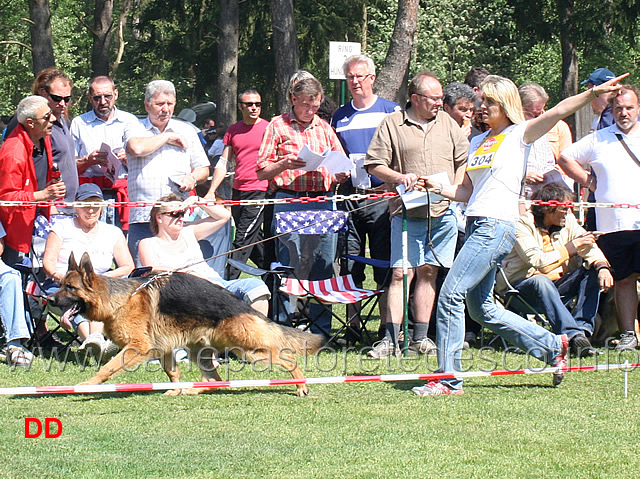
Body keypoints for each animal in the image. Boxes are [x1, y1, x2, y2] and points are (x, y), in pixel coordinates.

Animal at [50, 253, 324, 396]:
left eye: (70, 288)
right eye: (61, 285)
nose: (48, 299)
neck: (119, 299)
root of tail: (244, 307)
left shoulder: (138, 347)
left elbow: (107, 368)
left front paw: (86, 386)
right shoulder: (163, 349)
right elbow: (172, 372)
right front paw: (175, 390)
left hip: (249, 350)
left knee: (288, 358)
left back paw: (301, 385)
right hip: (199, 352)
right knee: (214, 381)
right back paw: (193, 390)